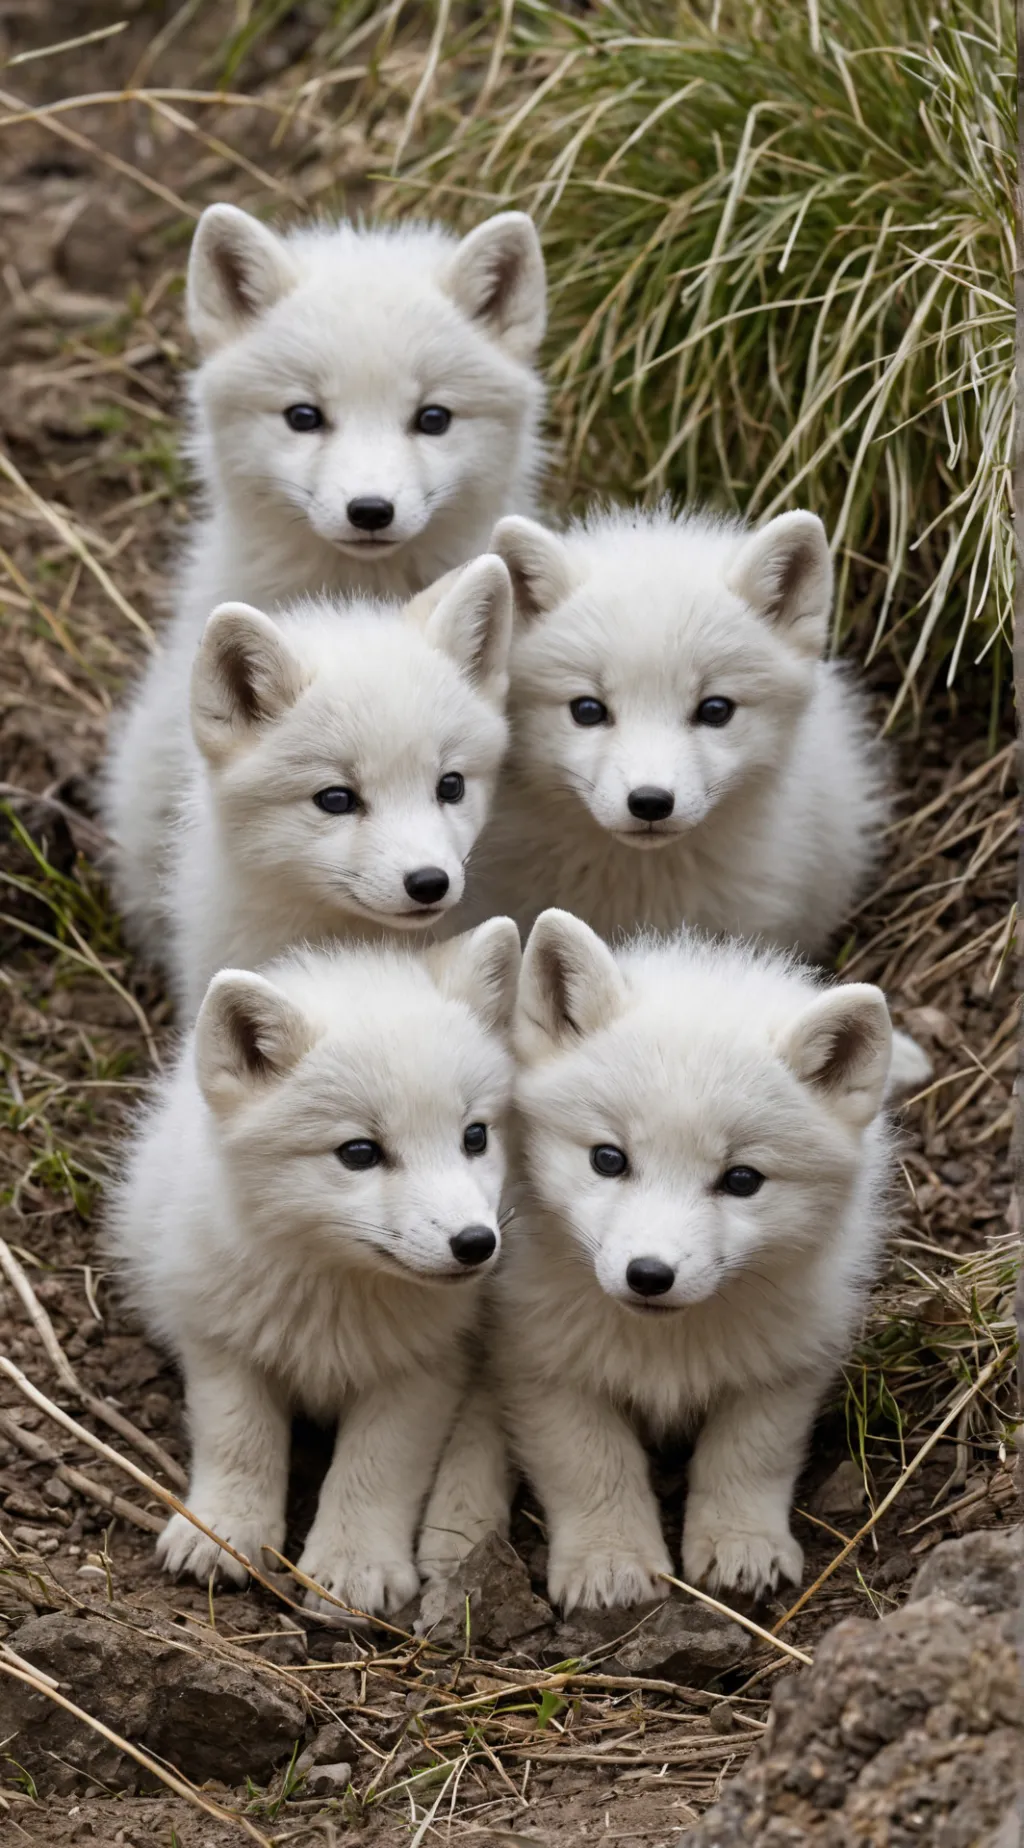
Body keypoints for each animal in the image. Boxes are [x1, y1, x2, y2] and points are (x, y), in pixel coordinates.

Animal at [106, 922, 520, 1616]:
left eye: (475, 1137)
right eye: (359, 1152)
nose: (475, 1244)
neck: (334, 1290)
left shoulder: (425, 1369)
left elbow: (375, 1467)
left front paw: (353, 1566)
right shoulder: (219, 1338)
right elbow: (239, 1440)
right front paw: (223, 1532)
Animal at [420, 910, 898, 1610]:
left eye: (742, 1179)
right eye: (608, 1159)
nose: (649, 1275)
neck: (665, 1344)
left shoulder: (785, 1364)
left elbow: (750, 1456)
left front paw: (741, 1543)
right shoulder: (542, 1364)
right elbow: (590, 1464)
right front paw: (611, 1562)